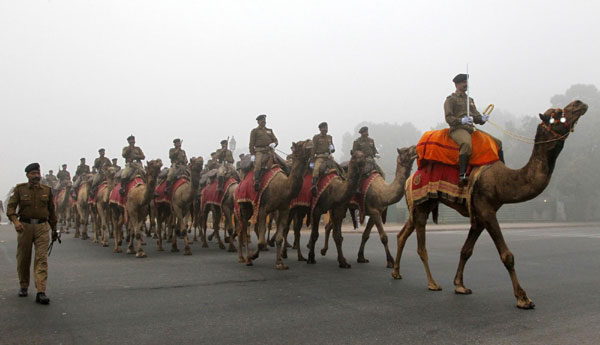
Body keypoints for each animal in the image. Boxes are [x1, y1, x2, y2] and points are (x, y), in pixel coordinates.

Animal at [236, 138, 310, 268]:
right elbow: (261, 242)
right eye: (300, 144)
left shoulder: (284, 210)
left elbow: (279, 238)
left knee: (242, 229)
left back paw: (242, 257)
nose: (310, 141)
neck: (283, 187)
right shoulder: (262, 209)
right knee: (243, 230)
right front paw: (252, 256)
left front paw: (280, 263)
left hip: (250, 208)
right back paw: (244, 259)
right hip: (244, 205)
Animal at [392, 100, 588, 310]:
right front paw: (523, 298)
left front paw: (460, 285)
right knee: (421, 246)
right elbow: (507, 255)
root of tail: (410, 178)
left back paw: (396, 272)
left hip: (422, 205)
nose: (580, 103)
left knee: (404, 233)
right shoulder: (486, 209)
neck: (502, 180)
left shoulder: (479, 214)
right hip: (421, 203)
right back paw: (432, 283)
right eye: (557, 114)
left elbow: (466, 250)